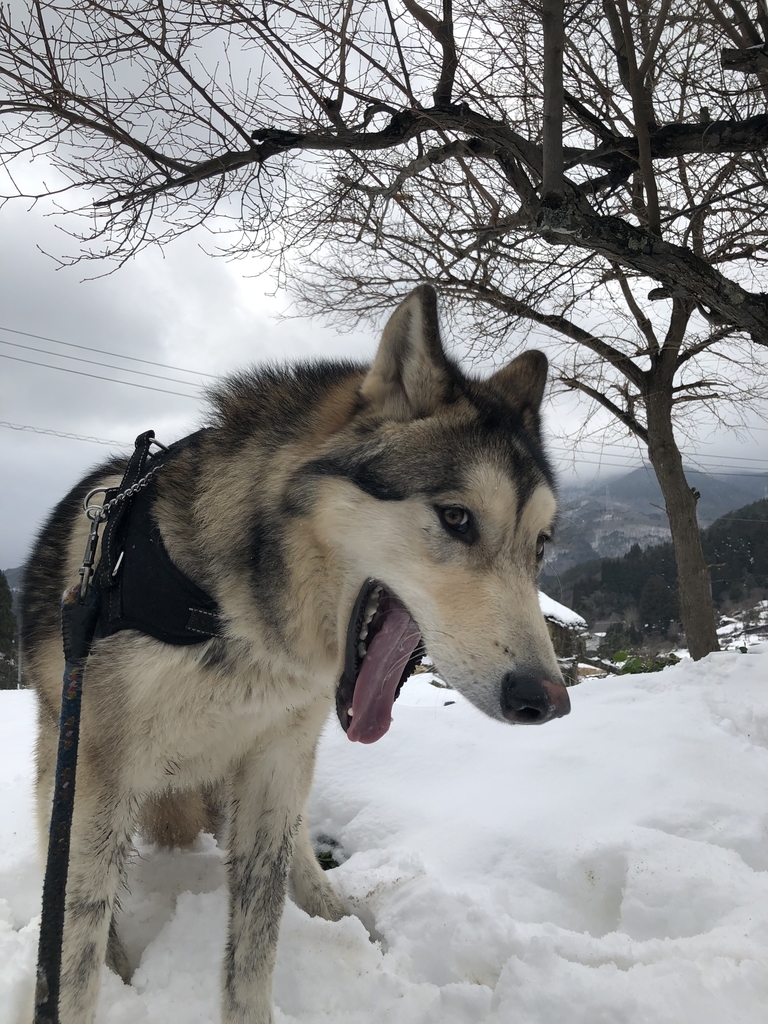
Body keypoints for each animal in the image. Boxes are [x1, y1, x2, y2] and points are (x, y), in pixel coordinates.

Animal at [22, 285, 570, 1024]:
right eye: (457, 518)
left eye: (540, 545)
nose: (546, 700)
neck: (243, 620)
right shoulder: (98, 772)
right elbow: (73, 955)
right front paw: (95, 976)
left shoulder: (275, 762)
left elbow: (256, 944)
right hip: (61, 759)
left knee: (296, 848)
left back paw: (332, 907)